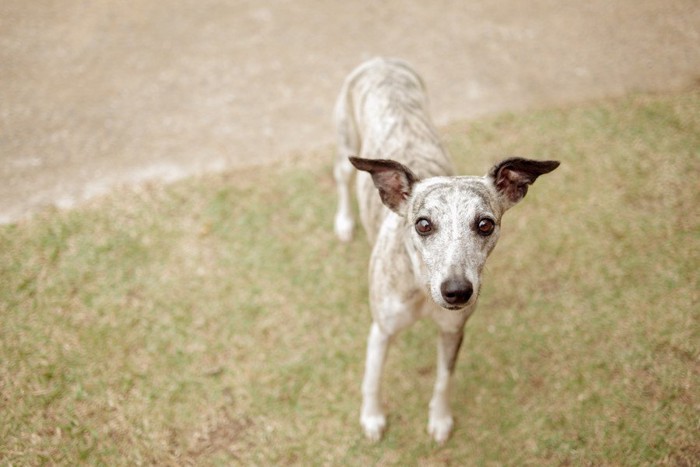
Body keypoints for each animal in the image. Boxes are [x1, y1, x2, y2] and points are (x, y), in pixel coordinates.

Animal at [332, 56, 556, 444]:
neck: (422, 288)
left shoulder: (453, 331)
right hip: (346, 140)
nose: (456, 292)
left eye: (485, 224)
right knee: (342, 178)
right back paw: (344, 221)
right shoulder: (381, 330)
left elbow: (443, 380)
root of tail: (380, 60)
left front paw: (440, 418)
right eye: (423, 224)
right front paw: (372, 417)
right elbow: (372, 380)